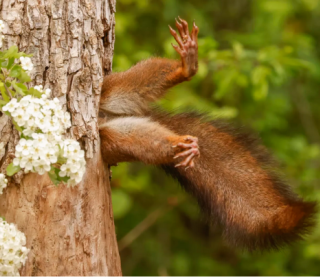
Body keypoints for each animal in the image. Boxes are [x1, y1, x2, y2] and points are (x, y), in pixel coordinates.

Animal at [99, 17, 316, 250]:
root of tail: (105, 117)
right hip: (112, 140)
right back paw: (181, 145)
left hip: (110, 89)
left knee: (135, 83)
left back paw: (186, 67)